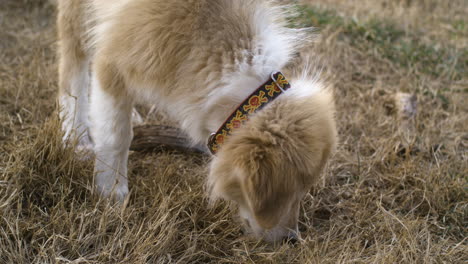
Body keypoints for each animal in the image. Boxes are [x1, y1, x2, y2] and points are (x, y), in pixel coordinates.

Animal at [57, 0, 336, 242]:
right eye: (286, 193)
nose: (292, 239)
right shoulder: (112, 62)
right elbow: (115, 135)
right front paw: (111, 192)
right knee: (73, 61)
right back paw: (76, 134)